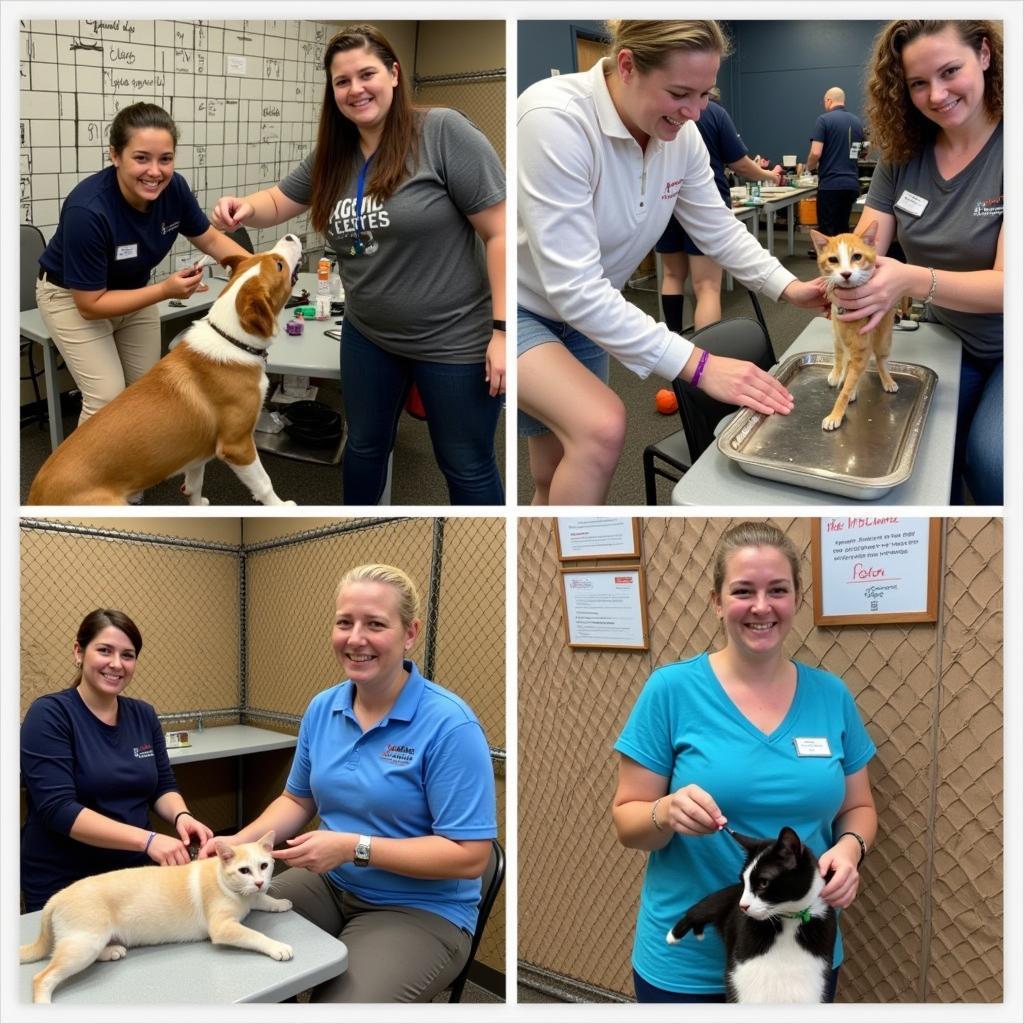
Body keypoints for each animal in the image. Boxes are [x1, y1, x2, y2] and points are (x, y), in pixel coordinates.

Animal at [19, 827, 292, 1003]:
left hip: (88, 943)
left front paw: (279, 902)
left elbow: (263, 901)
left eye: (264, 866)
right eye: (244, 870)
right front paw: (277, 946)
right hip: (82, 946)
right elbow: (255, 935)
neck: (225, 881)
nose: (259, 882)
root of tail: (56, 897)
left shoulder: (252, 898)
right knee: (42, 978)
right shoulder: (223, 927)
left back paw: (112, 950)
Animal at [25, 233, 301, 503]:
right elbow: (264, 485)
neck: (231, 337)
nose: (289, 236)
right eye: (279, 265)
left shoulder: (199, 452)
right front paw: (282, 506)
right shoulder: (238, 445)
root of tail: (35, 497)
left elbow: (194, 484)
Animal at [667, 823, 835, 999]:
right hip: (721, 899)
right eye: (743, 881)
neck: (789, 918)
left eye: (763, 883)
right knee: (698, 911)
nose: (743, 905)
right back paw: (673, 935)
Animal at [806, 222, 897, 430]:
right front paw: (839, 375)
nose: (846, 273)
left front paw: (836, 413)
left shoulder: (862, 350)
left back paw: (886, 379)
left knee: (879, 360)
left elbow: (846, 389)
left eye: (857, 256)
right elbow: (840, 358)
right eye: (833, 260)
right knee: (842, 354)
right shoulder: (839, 333)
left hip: (884, 338)